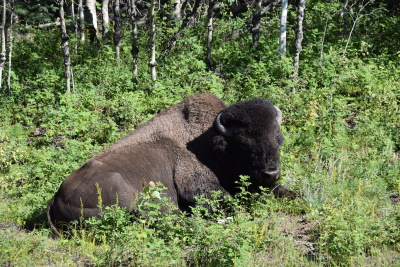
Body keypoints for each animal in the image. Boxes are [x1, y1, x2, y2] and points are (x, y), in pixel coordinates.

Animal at [47, 93, 290, 230]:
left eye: (277, 138)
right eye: (243, 143)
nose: (271, 173)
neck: (210, 143)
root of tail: (56, 198)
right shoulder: (195, 184)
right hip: (121, 190)